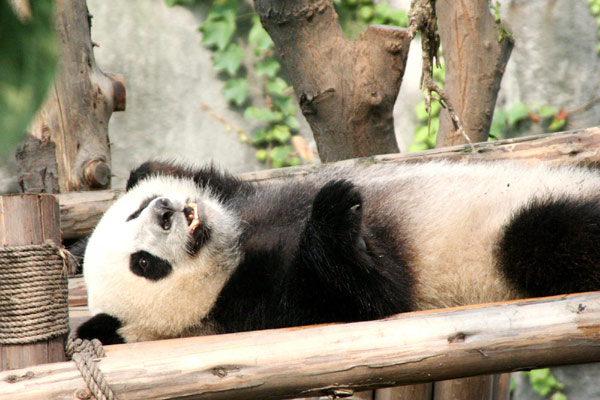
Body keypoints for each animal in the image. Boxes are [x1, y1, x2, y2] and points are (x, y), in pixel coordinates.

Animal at [77, 159, 600, 344]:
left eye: (137, 210)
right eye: (144, 264)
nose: (164, 211)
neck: (234, 255)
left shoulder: (248, 201)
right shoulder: (261, 309)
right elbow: (374, 294)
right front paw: (335, 212)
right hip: (505, 244)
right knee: (548, 238)